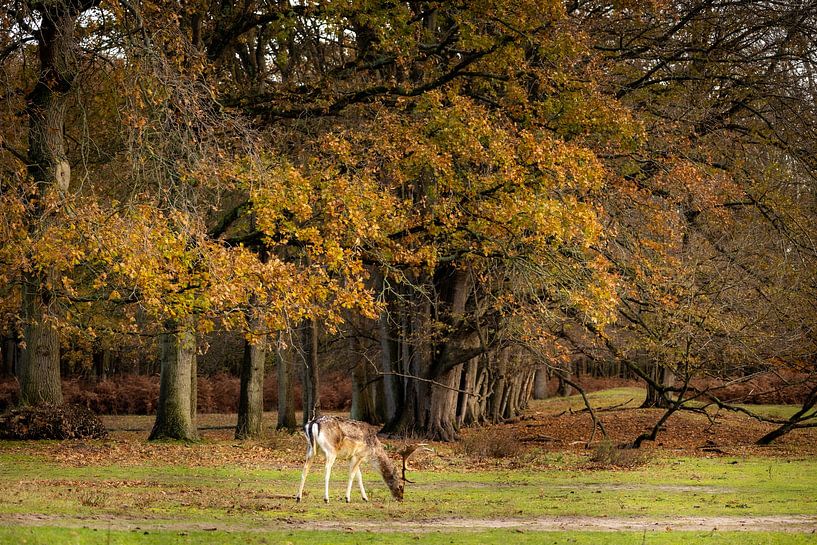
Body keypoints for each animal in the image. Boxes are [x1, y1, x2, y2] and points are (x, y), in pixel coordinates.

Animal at [295, 415, 424, 503]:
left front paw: (365, 498)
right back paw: (326, 499)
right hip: (331, 451)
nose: (401, 499)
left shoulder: (351, 456)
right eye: (401, 486)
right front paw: (347, 498)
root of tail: (313, 423)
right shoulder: (359, 455)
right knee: (326, 472)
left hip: (310, 449)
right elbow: (352, 475)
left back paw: (298, 497)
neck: (373, 449)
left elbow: (359, 476)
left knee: (304, 470)